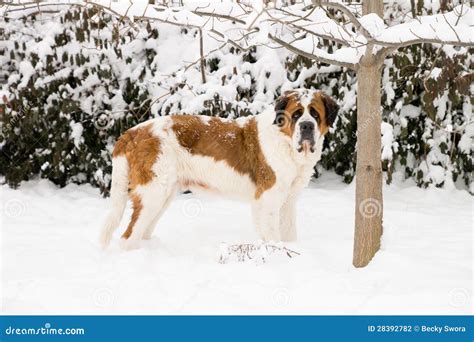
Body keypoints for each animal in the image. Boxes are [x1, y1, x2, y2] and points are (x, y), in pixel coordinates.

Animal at [99, 88, 336, 250]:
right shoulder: (267, 200)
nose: (307, 126)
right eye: (296, 114)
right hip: (154, 193)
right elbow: (272, 236)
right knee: (128, 237)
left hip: (162, 196)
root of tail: (132, 132)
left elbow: (288, 233)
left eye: (315, 114)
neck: (287, 144)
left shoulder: (288, 201)